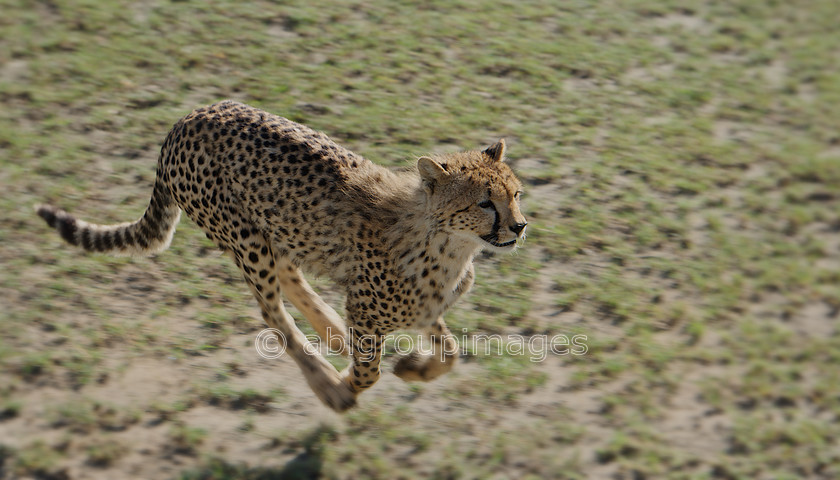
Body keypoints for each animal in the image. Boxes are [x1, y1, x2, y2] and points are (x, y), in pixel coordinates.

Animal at [39, 100, 528, 408]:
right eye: (484, 203)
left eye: (516, 194)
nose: (520, 226)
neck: (446, 245)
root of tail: (186, 120)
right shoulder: (368, 313)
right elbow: (369, 372)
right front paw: (346, 388)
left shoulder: (422, 309)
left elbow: (451, 352)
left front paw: (413, 369)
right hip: (244, 238)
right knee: (272, 313)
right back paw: (326, 381)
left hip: (277, 230)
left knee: (290, 274)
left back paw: (333, 333)